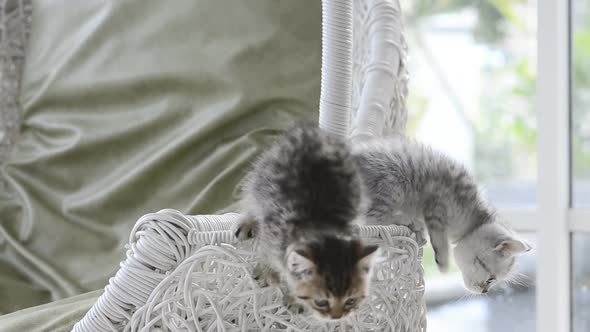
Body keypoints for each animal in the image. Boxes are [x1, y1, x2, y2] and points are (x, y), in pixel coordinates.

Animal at [234, 124, 382, 320]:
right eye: (322, 300)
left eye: (351, 299)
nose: (337, 317)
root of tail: (310, 132)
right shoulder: (272, 230)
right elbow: (266, 252)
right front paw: (266, 272)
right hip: (262, 175)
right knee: (251, 196)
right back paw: (247, 221)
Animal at [352, 135, 532, 294]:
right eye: (491, 278)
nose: (484, 291)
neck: (473, 215)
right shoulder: (437, 199)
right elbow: (438, 234)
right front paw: (443, 259)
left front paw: (414, 227)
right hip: (392, 183)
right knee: (371, 220)